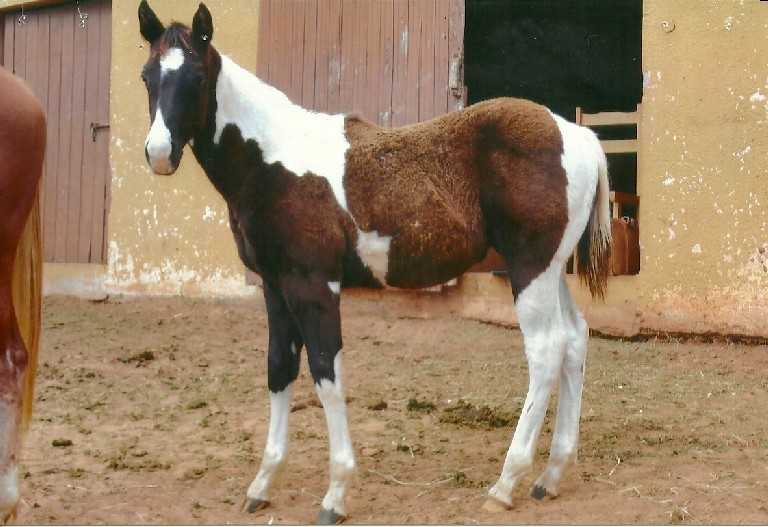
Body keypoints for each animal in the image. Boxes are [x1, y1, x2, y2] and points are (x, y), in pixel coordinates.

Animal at [138, 2, 611, 523]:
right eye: (146, 77)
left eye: (197, 78)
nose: (158, 154)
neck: (274, 160)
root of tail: (578, 134)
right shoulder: (275, 287)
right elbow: (279, 369)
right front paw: (262, 484)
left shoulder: (314, 286)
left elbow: (326, 373)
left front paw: (336, 493)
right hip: (550, 271)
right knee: (575, 339)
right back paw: (550, 476)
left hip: (531, 270)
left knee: (546, 351)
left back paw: (506, 483)